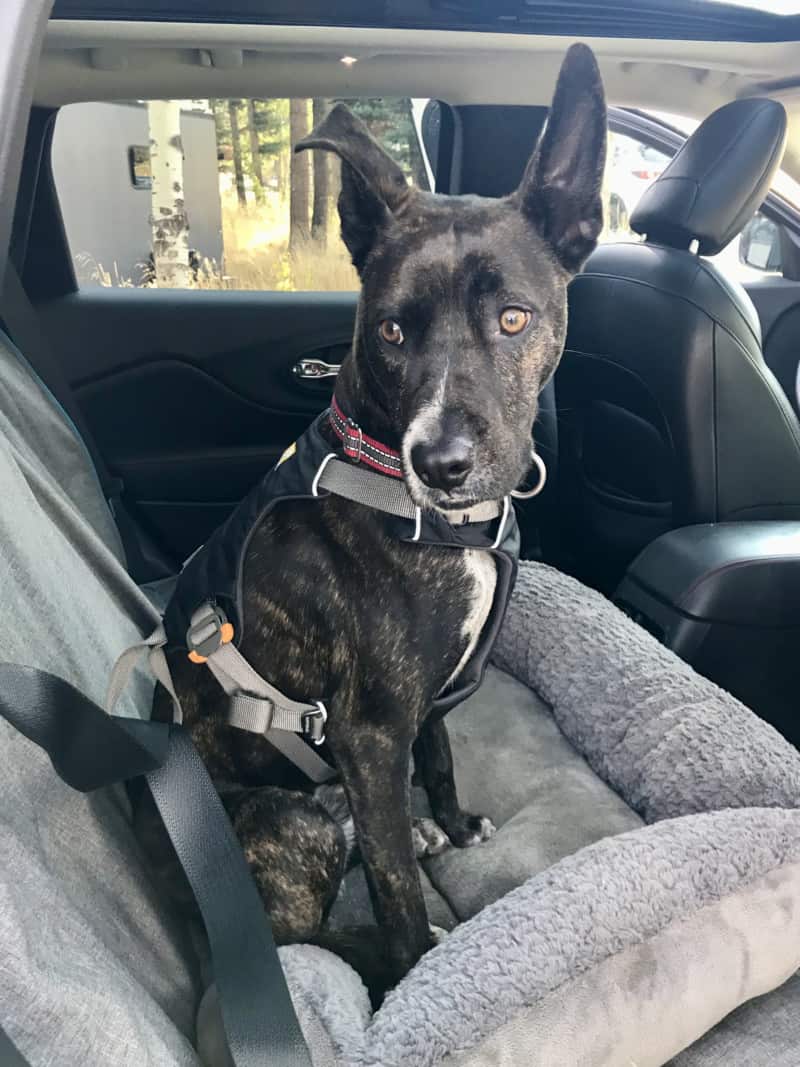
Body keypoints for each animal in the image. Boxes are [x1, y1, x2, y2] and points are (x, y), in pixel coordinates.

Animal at [144, 41, 605, 990]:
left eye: (514, 318)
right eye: (391, 331)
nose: (442, 463)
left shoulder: (420, 702)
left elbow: (440, 751)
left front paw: (453, 820)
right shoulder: (364, 732)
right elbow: (395, 895)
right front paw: (420, 962)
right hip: (290, 820)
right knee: (306, 933)